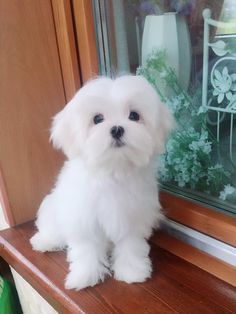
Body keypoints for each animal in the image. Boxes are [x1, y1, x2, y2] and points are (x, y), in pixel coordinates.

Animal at [30, 75, 173, 290]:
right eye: (97, 119)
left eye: (134, 116)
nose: (117, 129)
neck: (113, 171)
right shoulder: (83, 218)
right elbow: (85, 249)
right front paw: (85, 275)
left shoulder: (131, 217)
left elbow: (130, 245)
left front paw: (132, 270)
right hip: (53, 209)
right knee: (52, 228)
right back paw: (45, 241)